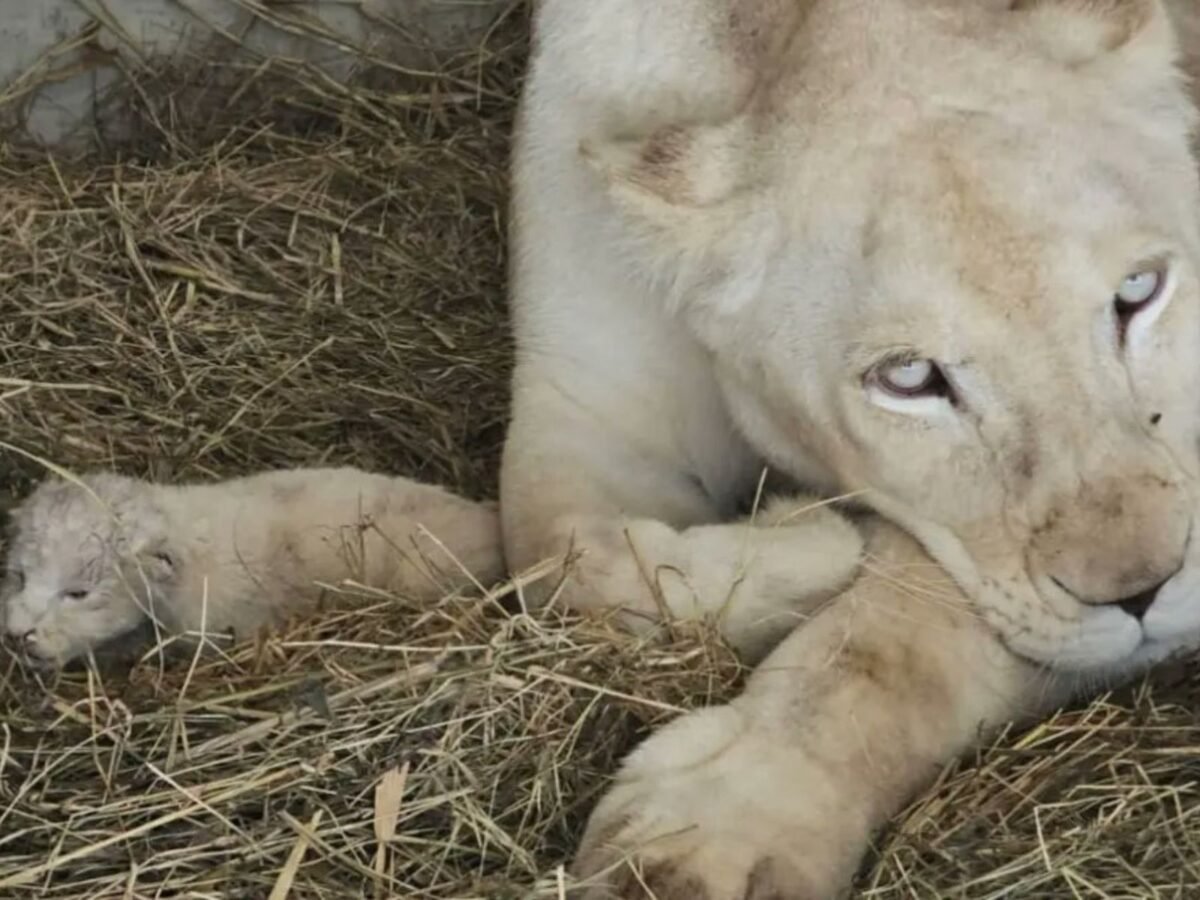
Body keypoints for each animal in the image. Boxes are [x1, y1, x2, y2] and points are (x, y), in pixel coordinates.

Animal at [499, 0, 1200, 896]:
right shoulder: (582, 393)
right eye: (907, 377)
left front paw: (720, 831)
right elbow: (560, 558)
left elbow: (887, 646)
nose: (1146, 590)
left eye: (1139, 292)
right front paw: (807, 544)